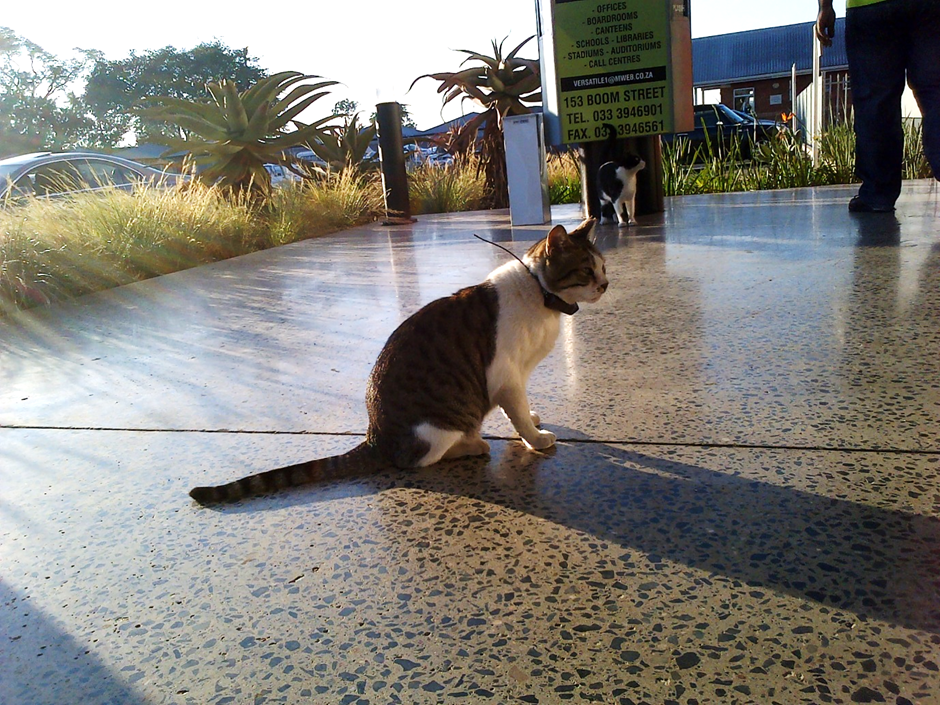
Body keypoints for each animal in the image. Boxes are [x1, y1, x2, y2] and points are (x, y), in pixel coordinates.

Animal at [189, 217, 608, 504]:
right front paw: (536, 439)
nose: (605, 284)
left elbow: (520, 408)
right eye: (587, 270)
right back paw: (472, 445)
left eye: (603, 267)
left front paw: (533, 419)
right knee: (418, 459)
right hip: (440, 425)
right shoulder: (505, 375)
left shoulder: (516, 377)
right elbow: (517, 413)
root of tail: (375, 436)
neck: (540, 295)